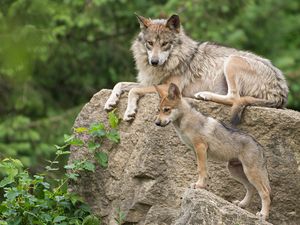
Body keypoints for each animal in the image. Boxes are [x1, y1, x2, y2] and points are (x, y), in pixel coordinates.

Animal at [103, 13, 288, 124]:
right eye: (150, 43)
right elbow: (120, 84)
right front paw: (110, 101)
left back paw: (204, 95)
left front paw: (129, 111)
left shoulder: (167, 87)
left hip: (232, 60)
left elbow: (133, 91)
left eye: (165, 44)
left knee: (234, 98)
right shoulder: (149, 82)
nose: (154, 61)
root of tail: (281, 92)